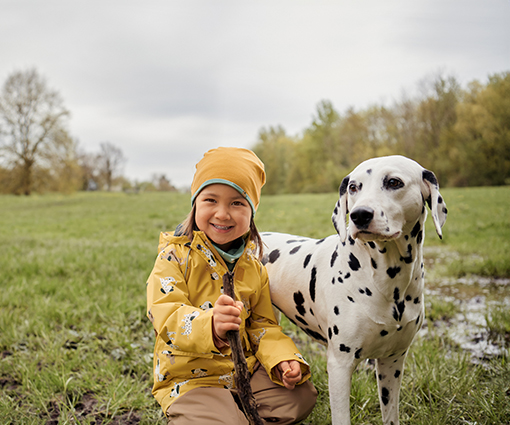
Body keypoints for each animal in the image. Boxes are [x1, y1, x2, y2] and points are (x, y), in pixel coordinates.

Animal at [260, 156, 448, 424]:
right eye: (353, 187)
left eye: (394, 182)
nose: (360, 214)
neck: (389, 283)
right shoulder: (340, 365)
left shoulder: (392, 361)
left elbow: (390, 414)